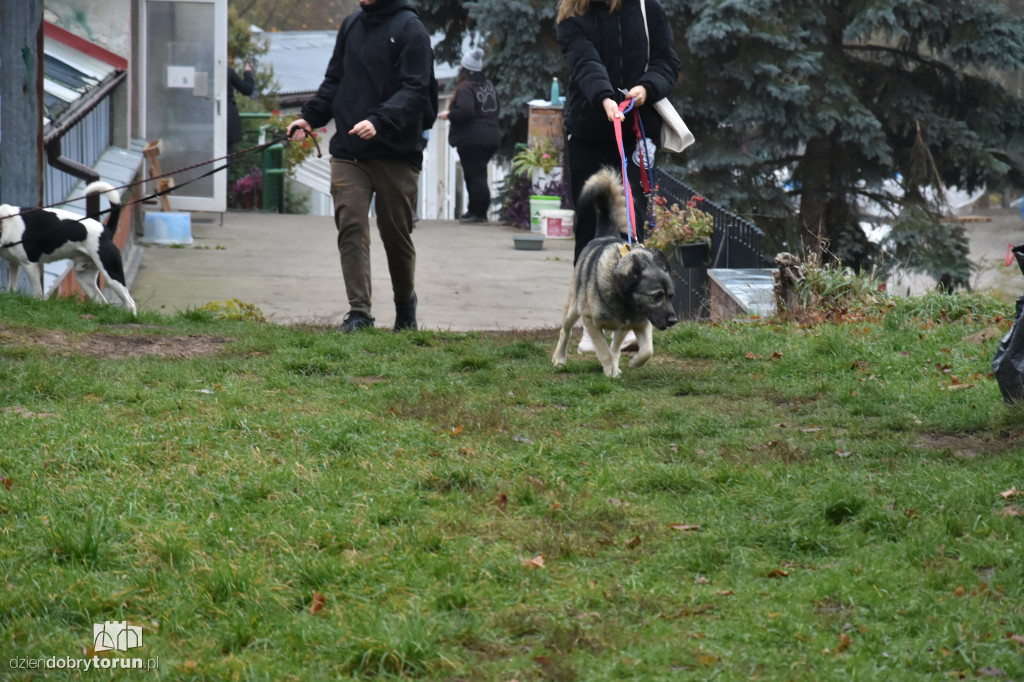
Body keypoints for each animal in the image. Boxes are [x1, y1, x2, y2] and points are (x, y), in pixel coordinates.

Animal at [0, 180, 136, 313]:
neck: (5, 222)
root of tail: (106, 230)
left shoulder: (30, 265)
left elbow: (37, 294)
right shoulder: (14, 264)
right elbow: (11, 287)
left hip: (112, 274)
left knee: (130, 303)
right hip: (84, 277)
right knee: (101, 301)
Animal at [552, 165, 679, 376]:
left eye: (671, 296)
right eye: (656, 296)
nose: (673, 320)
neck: (626, 298)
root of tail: (605, 234)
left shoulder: (637, 324)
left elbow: (645, 350)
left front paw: (633, 361)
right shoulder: (591, 322)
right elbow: (603, 349)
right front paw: (610, 370)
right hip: (573, 308)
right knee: (565, 332)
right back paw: (560, 359)